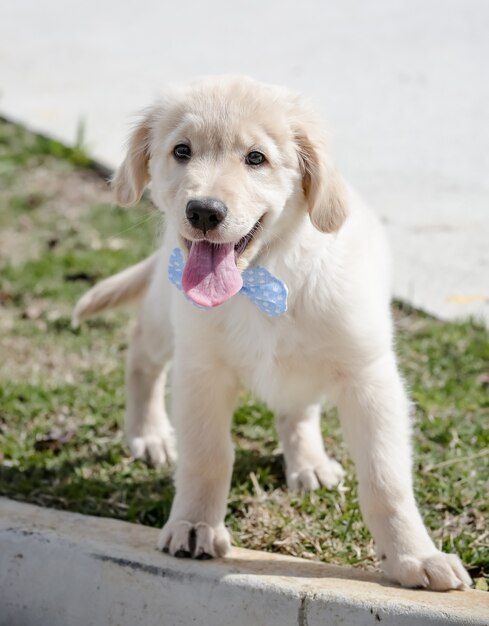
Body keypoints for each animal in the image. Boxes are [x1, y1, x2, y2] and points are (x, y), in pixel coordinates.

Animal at [74, 75, 470, 588]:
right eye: (181, 151)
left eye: (256, 158)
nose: (204, 212)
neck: (265, 275)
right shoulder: (201, 370)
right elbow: (207, 455)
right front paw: (195, 524)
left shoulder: (369, 377)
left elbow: (386, 478)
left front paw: (413, 557)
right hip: (166, 315)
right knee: (142, 350)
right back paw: (150, 433)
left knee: (295, 408)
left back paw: (309, 462)